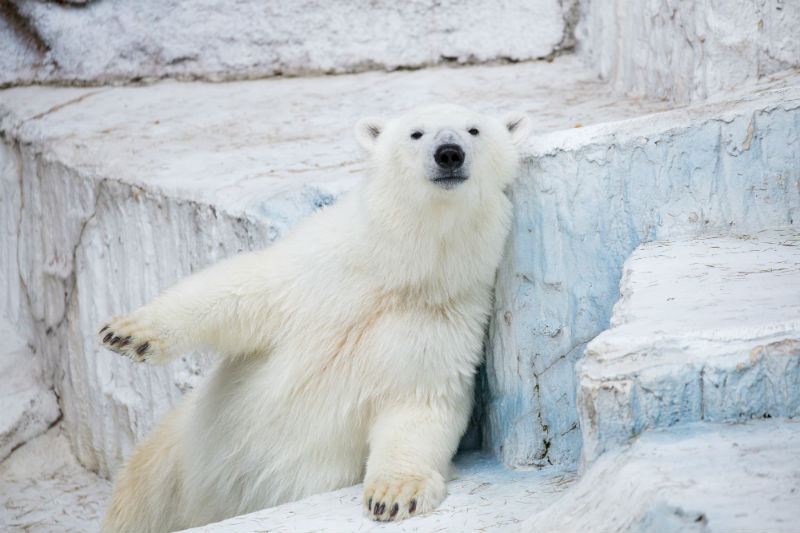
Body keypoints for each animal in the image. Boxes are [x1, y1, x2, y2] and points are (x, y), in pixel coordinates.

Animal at [97, 105, 532, 532]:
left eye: (474, 130)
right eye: (416, 133)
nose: (449, 154)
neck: (402, 272)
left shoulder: (443, 321)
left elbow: (419, 407)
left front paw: (393, 495)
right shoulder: (321, 268)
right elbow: (244, 287)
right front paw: (127, 333)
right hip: (171, 459)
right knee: (138, 495)